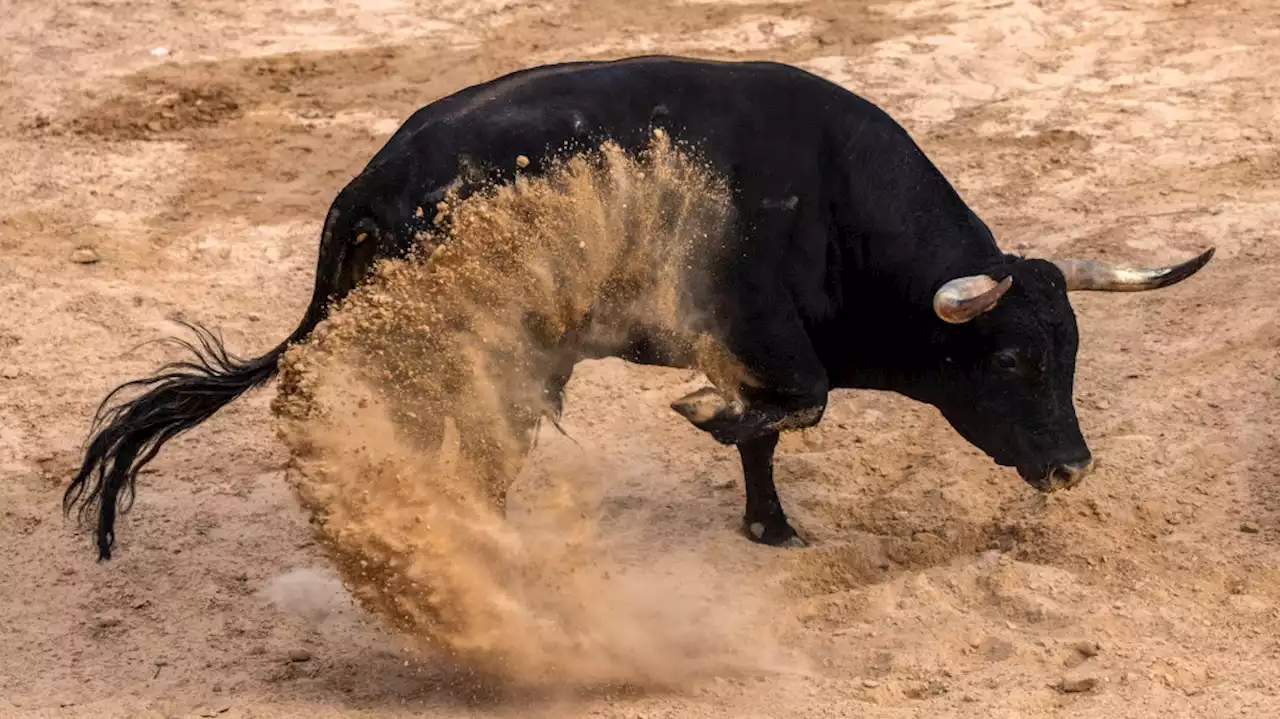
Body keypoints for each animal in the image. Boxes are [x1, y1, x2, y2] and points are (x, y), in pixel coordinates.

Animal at [64, 57, 1213, 560]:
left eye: (1073, 354)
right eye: (1015, 361)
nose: (1072, 467)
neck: (834, 203)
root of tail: (367, 183)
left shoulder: (760, 350)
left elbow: (774, 433)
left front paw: (769, 526)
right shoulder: (763, 339)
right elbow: (793, 406)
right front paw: (703, 419)